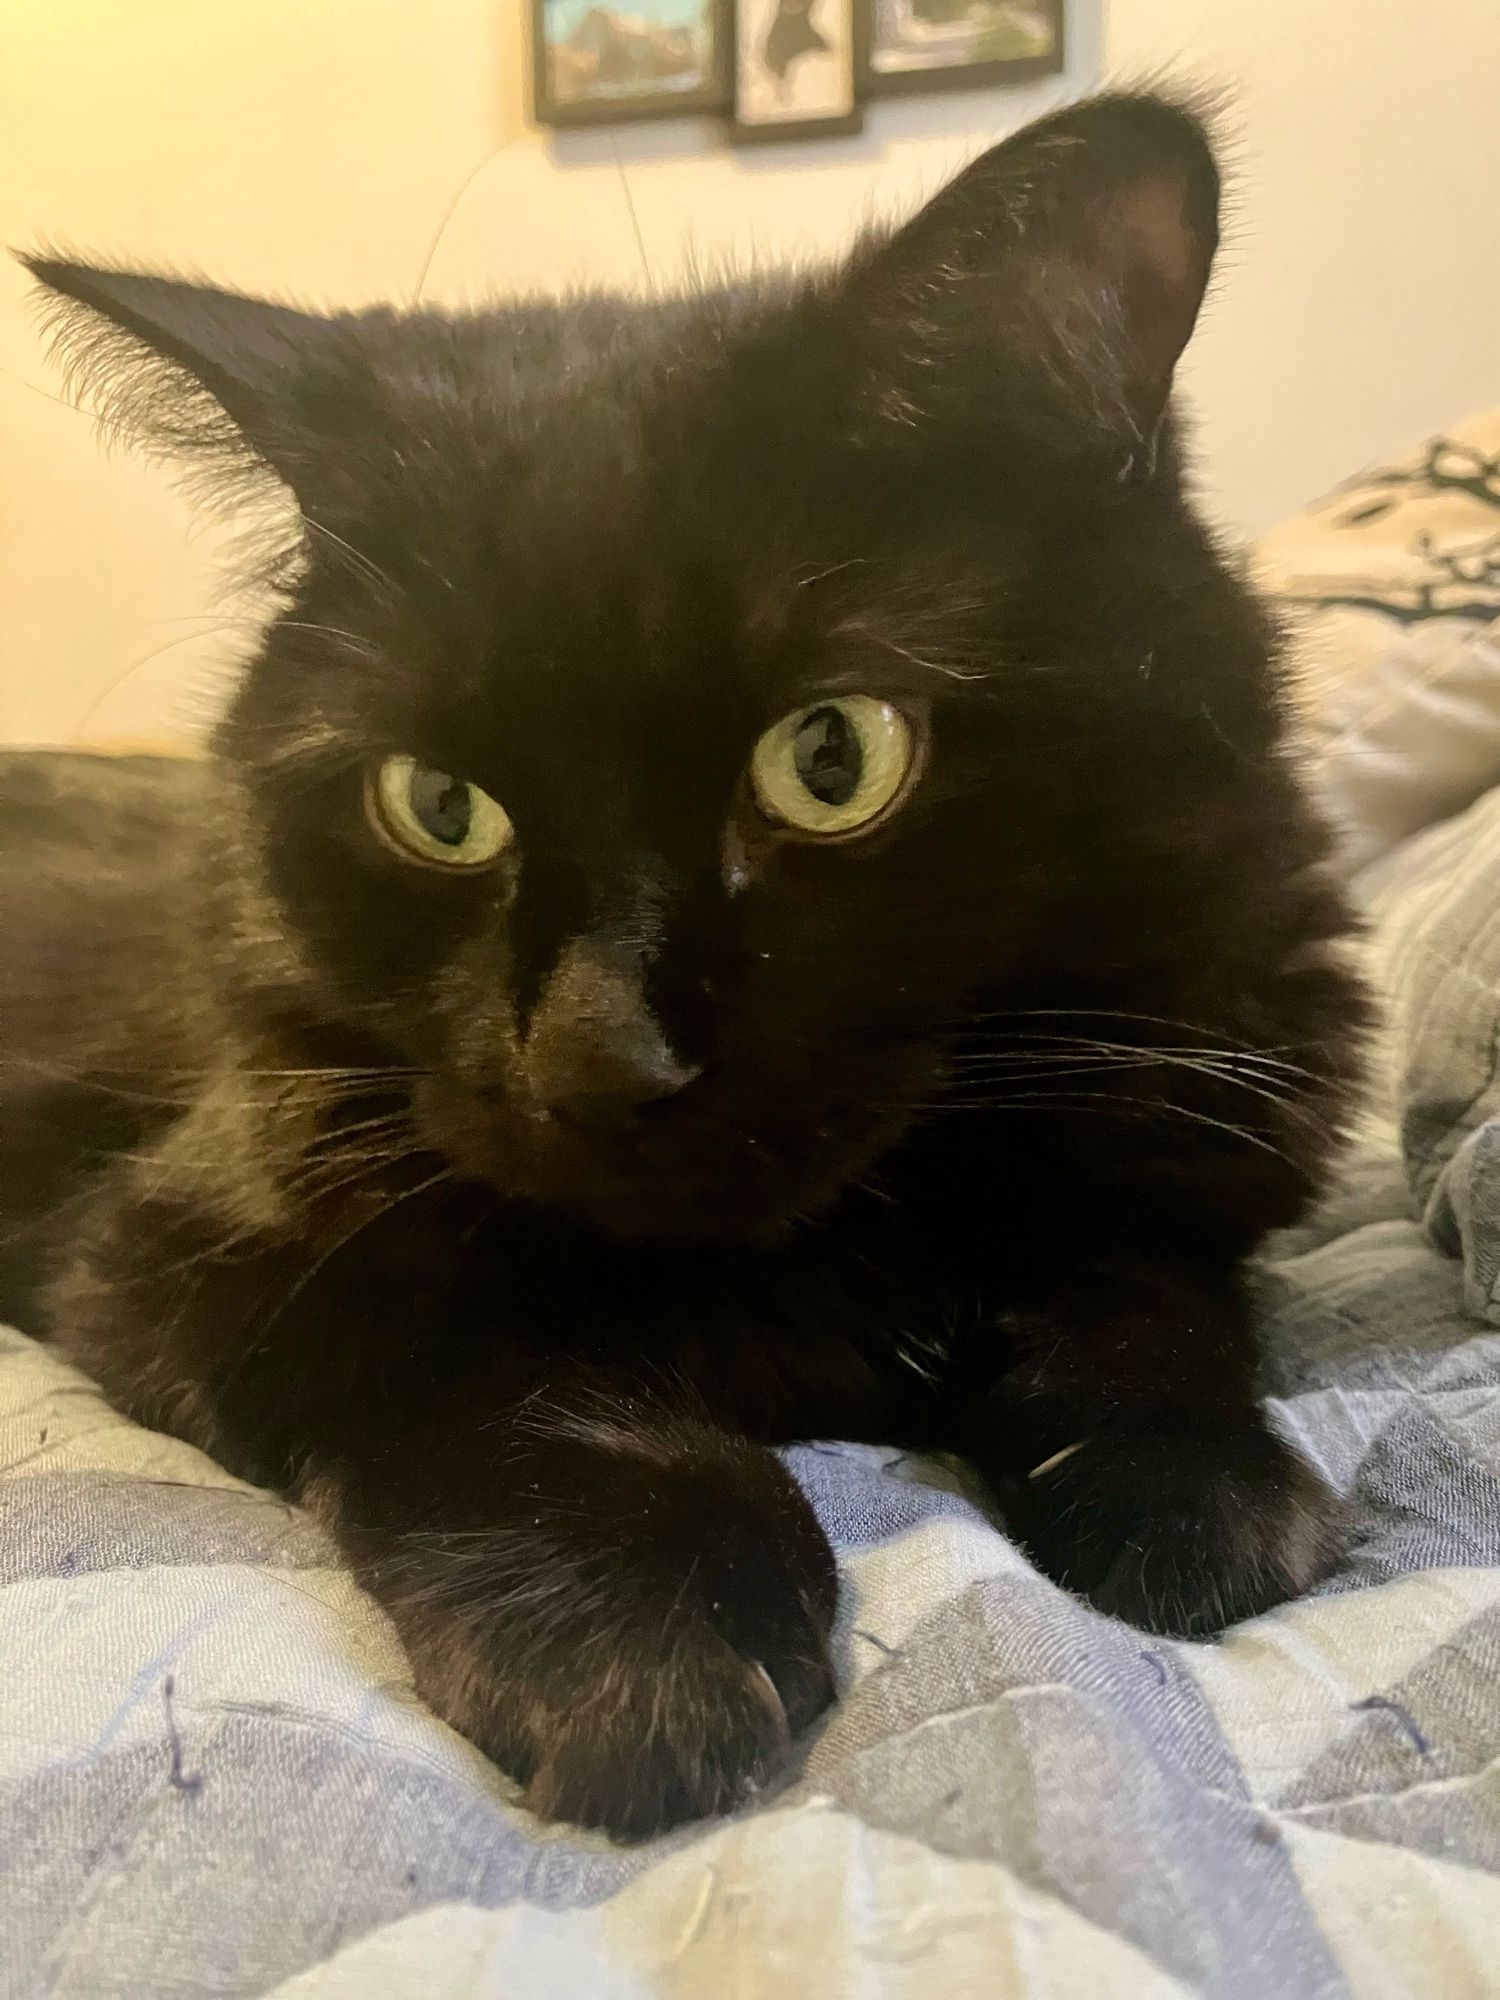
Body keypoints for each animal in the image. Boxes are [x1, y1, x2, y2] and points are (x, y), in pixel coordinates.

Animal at [0, 97, 1368, 1840]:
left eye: (832, 758)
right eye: (436, 805)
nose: (595, 1055)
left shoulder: (1207, 1107)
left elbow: (1140, 1286)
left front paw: (1197, 1494)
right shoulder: (179, 1239)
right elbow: (476, 1352)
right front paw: (635, 1632)